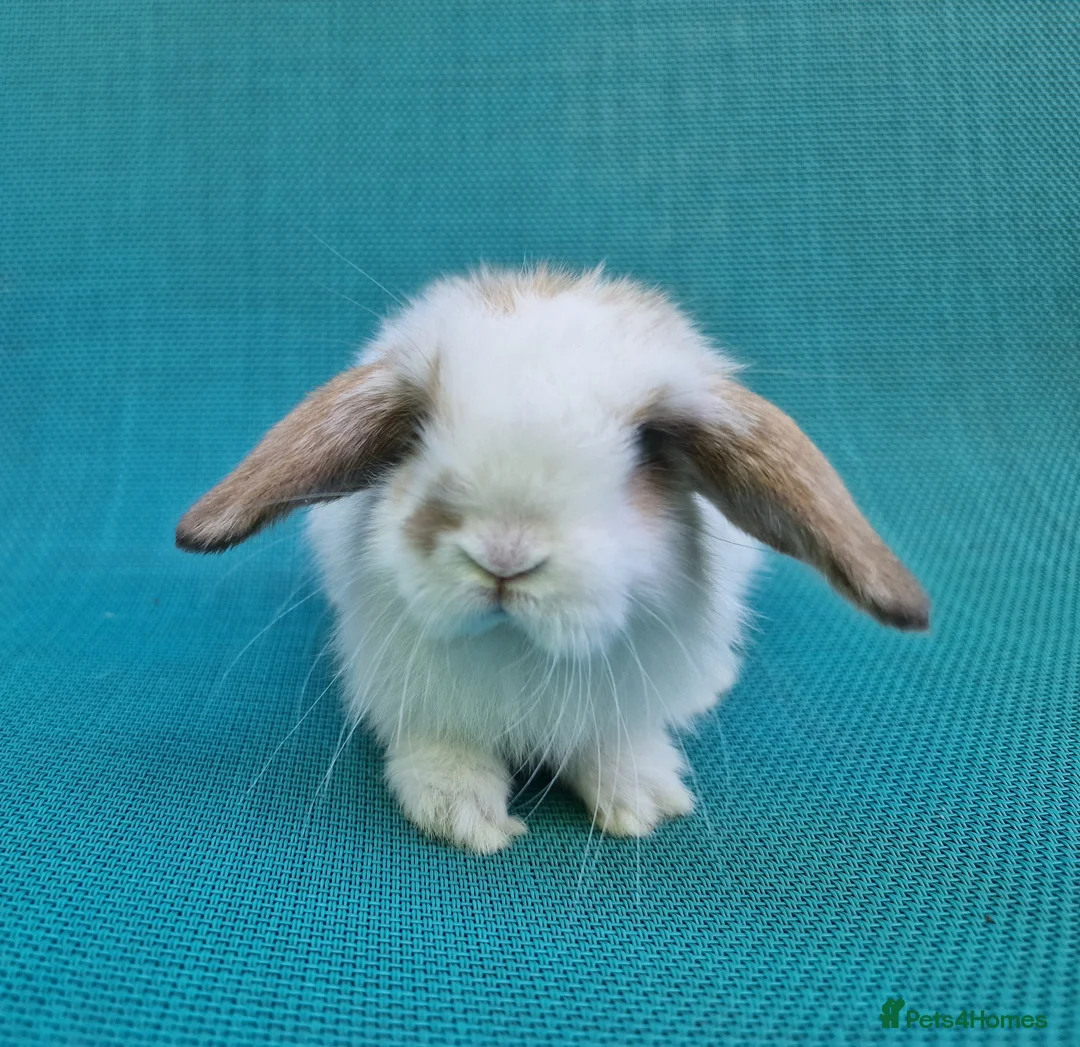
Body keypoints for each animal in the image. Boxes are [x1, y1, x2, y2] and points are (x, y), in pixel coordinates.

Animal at [177, 264, 929, 853]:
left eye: (649, 449)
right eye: (415, 432)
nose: (504, 557)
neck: (517, 651)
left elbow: (612, 745)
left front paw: (643, 801)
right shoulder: (420, 701)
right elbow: (443, 753)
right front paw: (465, 819)